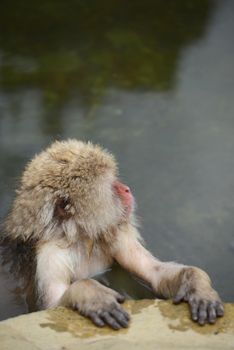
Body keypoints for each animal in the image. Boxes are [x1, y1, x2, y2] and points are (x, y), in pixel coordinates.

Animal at [2, 139, 225, 328]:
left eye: (115, 180)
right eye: (111, 185)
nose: (126, 189)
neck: (80, 238)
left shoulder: (116, 235)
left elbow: (154, 272)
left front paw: (196, 284)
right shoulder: (49, 256)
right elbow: (49, 308)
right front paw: (90, 293)